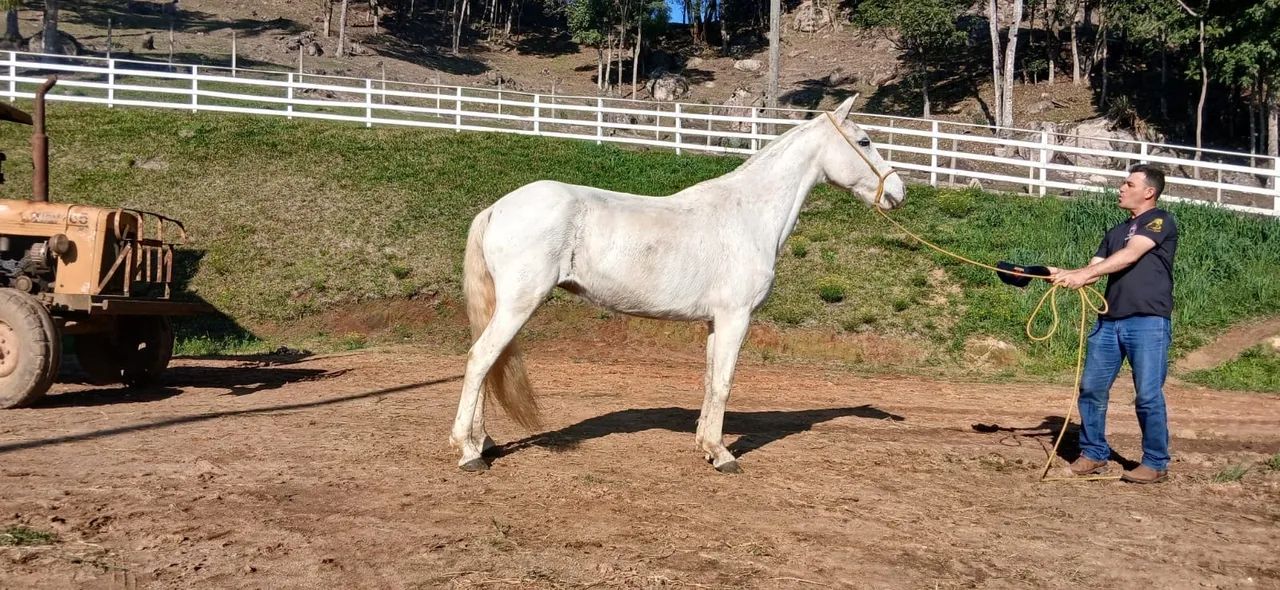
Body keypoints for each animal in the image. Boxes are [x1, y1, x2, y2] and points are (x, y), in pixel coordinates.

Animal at [448, 95, 906, 473]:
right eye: (864, 141)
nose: (898, 192)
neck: (749, 214)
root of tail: (497, 207)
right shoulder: (737, 317)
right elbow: (724, 383)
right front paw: (723, 455)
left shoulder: (715, 322)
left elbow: (709, 380)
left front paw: (706, 445)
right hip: (519, 303)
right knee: (480, 358)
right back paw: (469, 452)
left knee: (487, 362)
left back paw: (484, 442)